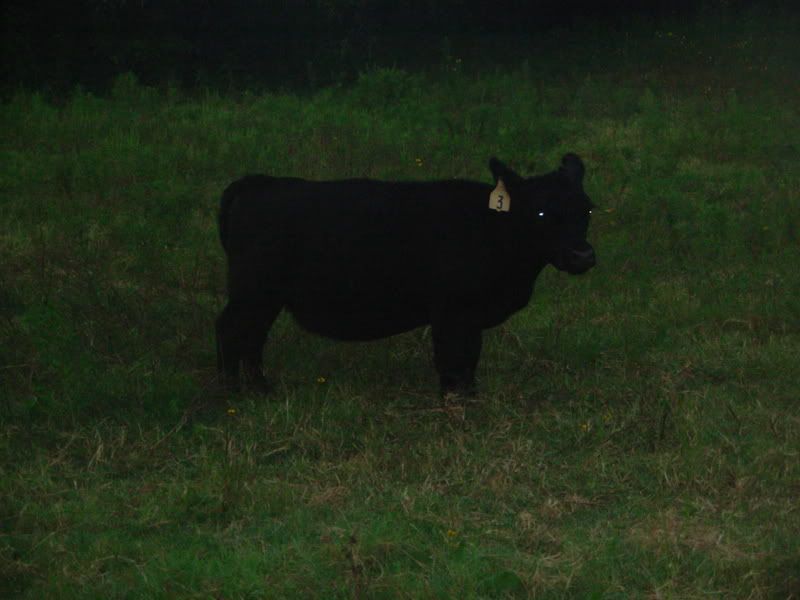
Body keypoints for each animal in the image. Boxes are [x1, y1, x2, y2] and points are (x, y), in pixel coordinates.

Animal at [216, 154, 596, 396]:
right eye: (542, 212)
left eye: (588, 209)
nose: (582, 255)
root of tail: (258, 182)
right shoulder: (451, 312)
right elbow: (452, 362)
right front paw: (456, 407)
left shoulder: (470, 317)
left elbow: (469, 361)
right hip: (252, 289)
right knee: (231, 330)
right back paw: (231, 393)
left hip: (265, 296)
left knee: (253, 337)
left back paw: (261, 390)